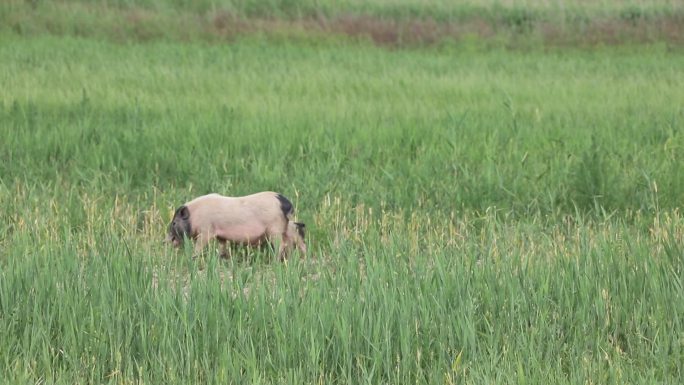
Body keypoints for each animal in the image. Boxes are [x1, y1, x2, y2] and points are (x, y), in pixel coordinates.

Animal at [166, 191, 308, 260]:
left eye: (174, 223)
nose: (166, 240)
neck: (195, 216)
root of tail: (284, 202)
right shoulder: (220, 235)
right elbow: (222, 246)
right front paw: (222, 258)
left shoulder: (206, 231)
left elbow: (199, 246)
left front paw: (192, 258)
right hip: (285, 227)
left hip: (274, 229)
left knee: (282, 244)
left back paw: (275, 260)